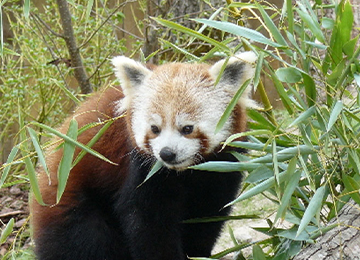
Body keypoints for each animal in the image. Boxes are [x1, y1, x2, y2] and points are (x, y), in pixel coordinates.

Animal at [30, 51, 256, 258]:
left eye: (187, 128)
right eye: (155, 128)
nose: (167, 154)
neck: (186, 172)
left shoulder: (223, 168)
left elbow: (207, 218)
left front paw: (196, 253)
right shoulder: (142, 170)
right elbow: (147, 223)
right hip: (71, 204)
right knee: (86, 242)